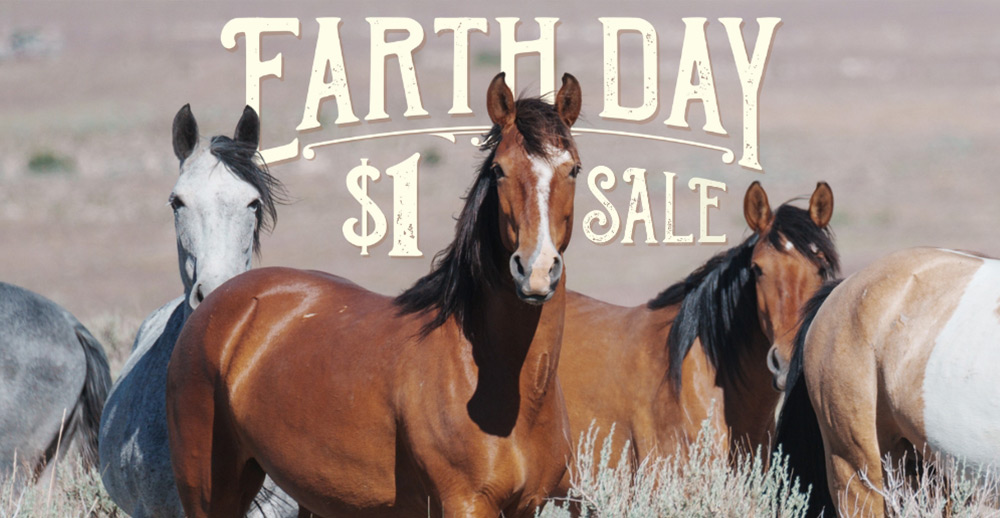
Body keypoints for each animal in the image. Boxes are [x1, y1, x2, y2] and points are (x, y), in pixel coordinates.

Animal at [165, 72, 583, 518]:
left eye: (573, 168)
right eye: (500, 170)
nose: (535, 271)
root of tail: (219, 298)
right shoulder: (466, 503)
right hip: (210, 492)